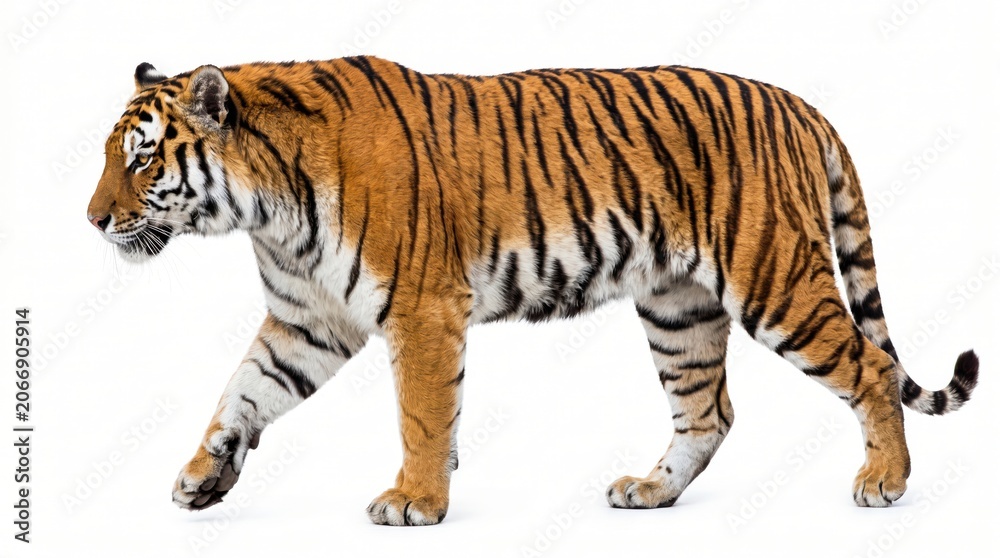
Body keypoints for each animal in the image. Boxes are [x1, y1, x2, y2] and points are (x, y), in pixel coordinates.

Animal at [87, 56, 979, 526]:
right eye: (108, 156)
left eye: (141, 158)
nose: (92, 220)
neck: (263, 208)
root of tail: (797, 101)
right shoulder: (308, 321)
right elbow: (241, 394)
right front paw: (202, 476)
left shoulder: (421, 308)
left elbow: (422, 414)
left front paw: (415, 501)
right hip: (678, 306)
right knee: (710, 412)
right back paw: (651, 491)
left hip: (775, 278)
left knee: (868, 367)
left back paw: (885, 482)